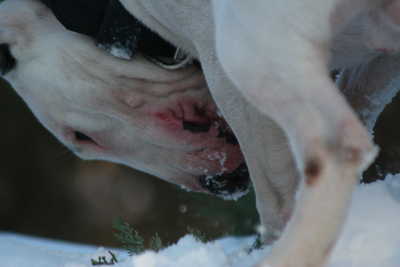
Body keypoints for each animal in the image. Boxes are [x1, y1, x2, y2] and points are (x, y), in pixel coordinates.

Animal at [0, 0, 400, 266]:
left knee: (337, 145)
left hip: (248, 42)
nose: (222, 185)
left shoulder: (223, 64)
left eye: (81, 137)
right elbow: (359, 99)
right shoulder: (382, 57)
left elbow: (277, 197)